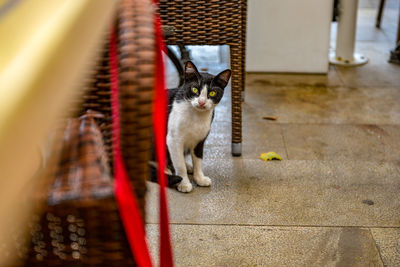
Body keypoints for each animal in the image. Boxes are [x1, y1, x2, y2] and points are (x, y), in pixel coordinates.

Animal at [151, 62, 231, 194]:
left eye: (212, 93)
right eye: (194, 89)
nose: (202, 102)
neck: (196, 116)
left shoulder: (200, 139)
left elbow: (198, 159)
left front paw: (199, 178)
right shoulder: (173, 140)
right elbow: (179, 165)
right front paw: (184, 183)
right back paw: (166, 170)